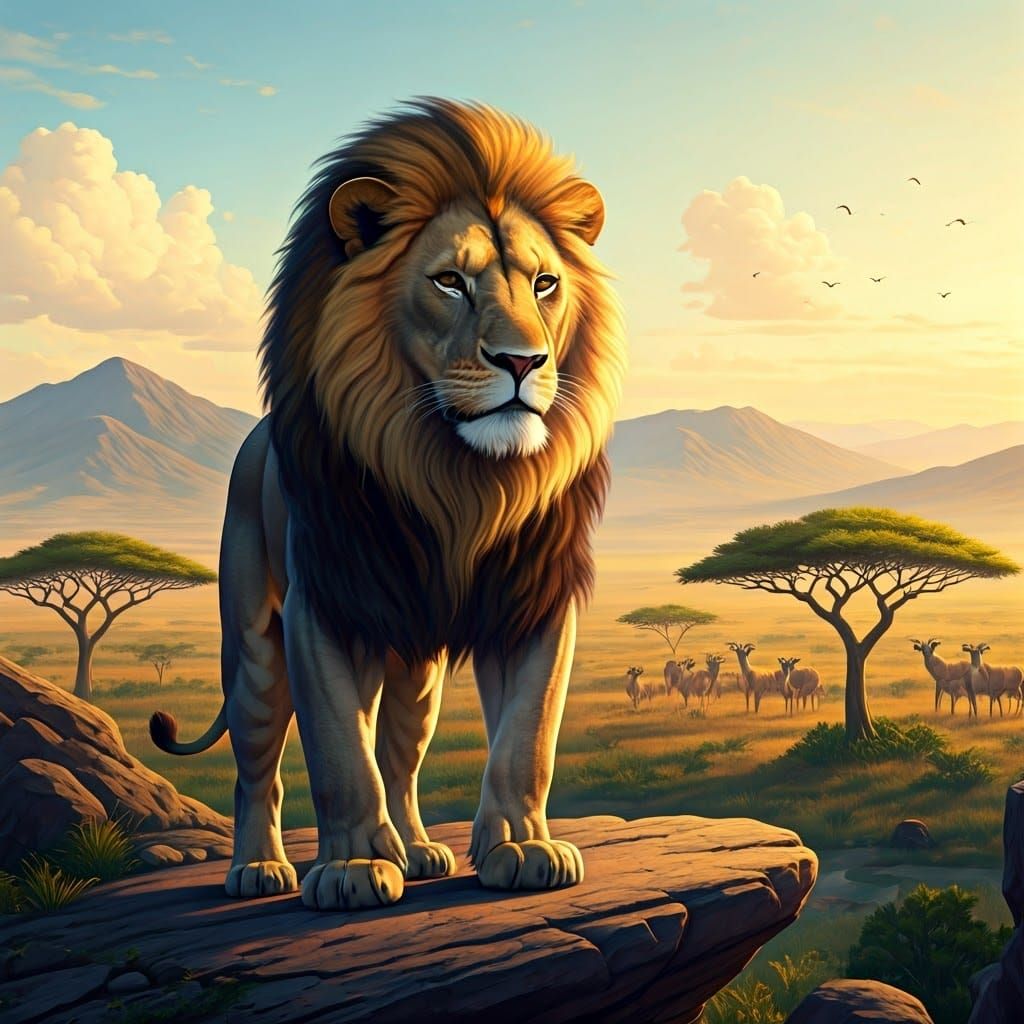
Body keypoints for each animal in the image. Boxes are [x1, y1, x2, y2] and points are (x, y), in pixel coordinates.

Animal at [150, 98, 626, 911]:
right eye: (450, 282)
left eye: (544, 284)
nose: (524, 361)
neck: (457, 479)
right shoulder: (322, 604)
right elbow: (339, 751)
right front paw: (350, 869)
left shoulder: (532, 599)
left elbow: (526, 737)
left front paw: (523, 847)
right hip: (255, 652)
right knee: (258, 770)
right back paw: (257, 869)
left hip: (415, 674)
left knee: (401, 760)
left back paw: (421, 849)